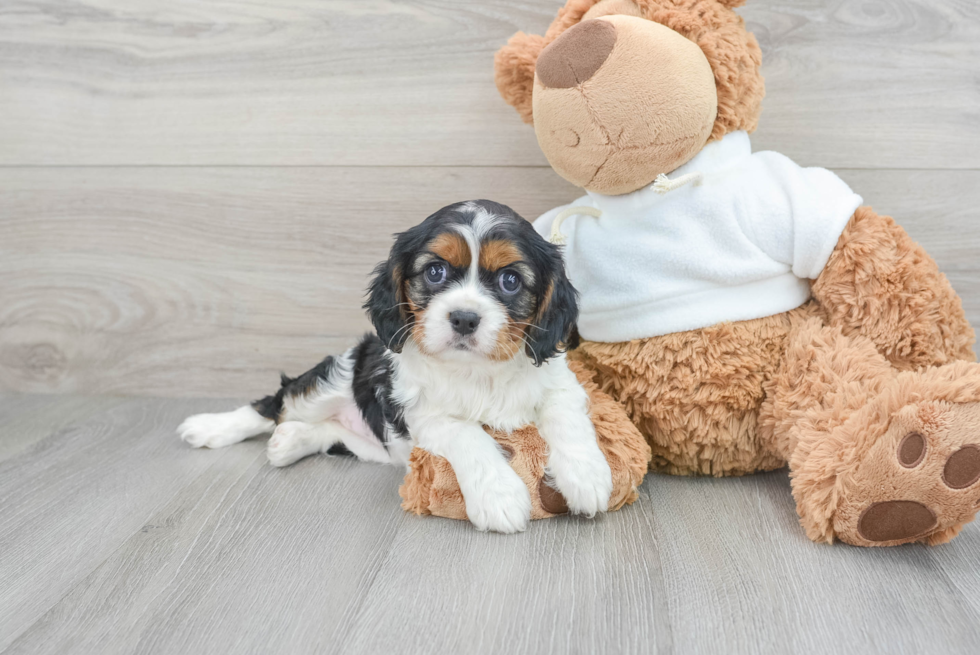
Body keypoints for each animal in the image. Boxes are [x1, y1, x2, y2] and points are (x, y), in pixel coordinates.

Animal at [178, 200, 612, 532]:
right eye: (435, 271)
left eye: (510, 280)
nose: (464, 318)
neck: (477, 371)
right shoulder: (421, 412)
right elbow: (469, 435)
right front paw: (498, 496)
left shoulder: (560, 383)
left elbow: (565, 415)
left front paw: (586, 476)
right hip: (332, 379)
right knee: (274, 403)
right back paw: (210, 427)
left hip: (374, 446)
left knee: (330, 433)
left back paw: (291, 442)